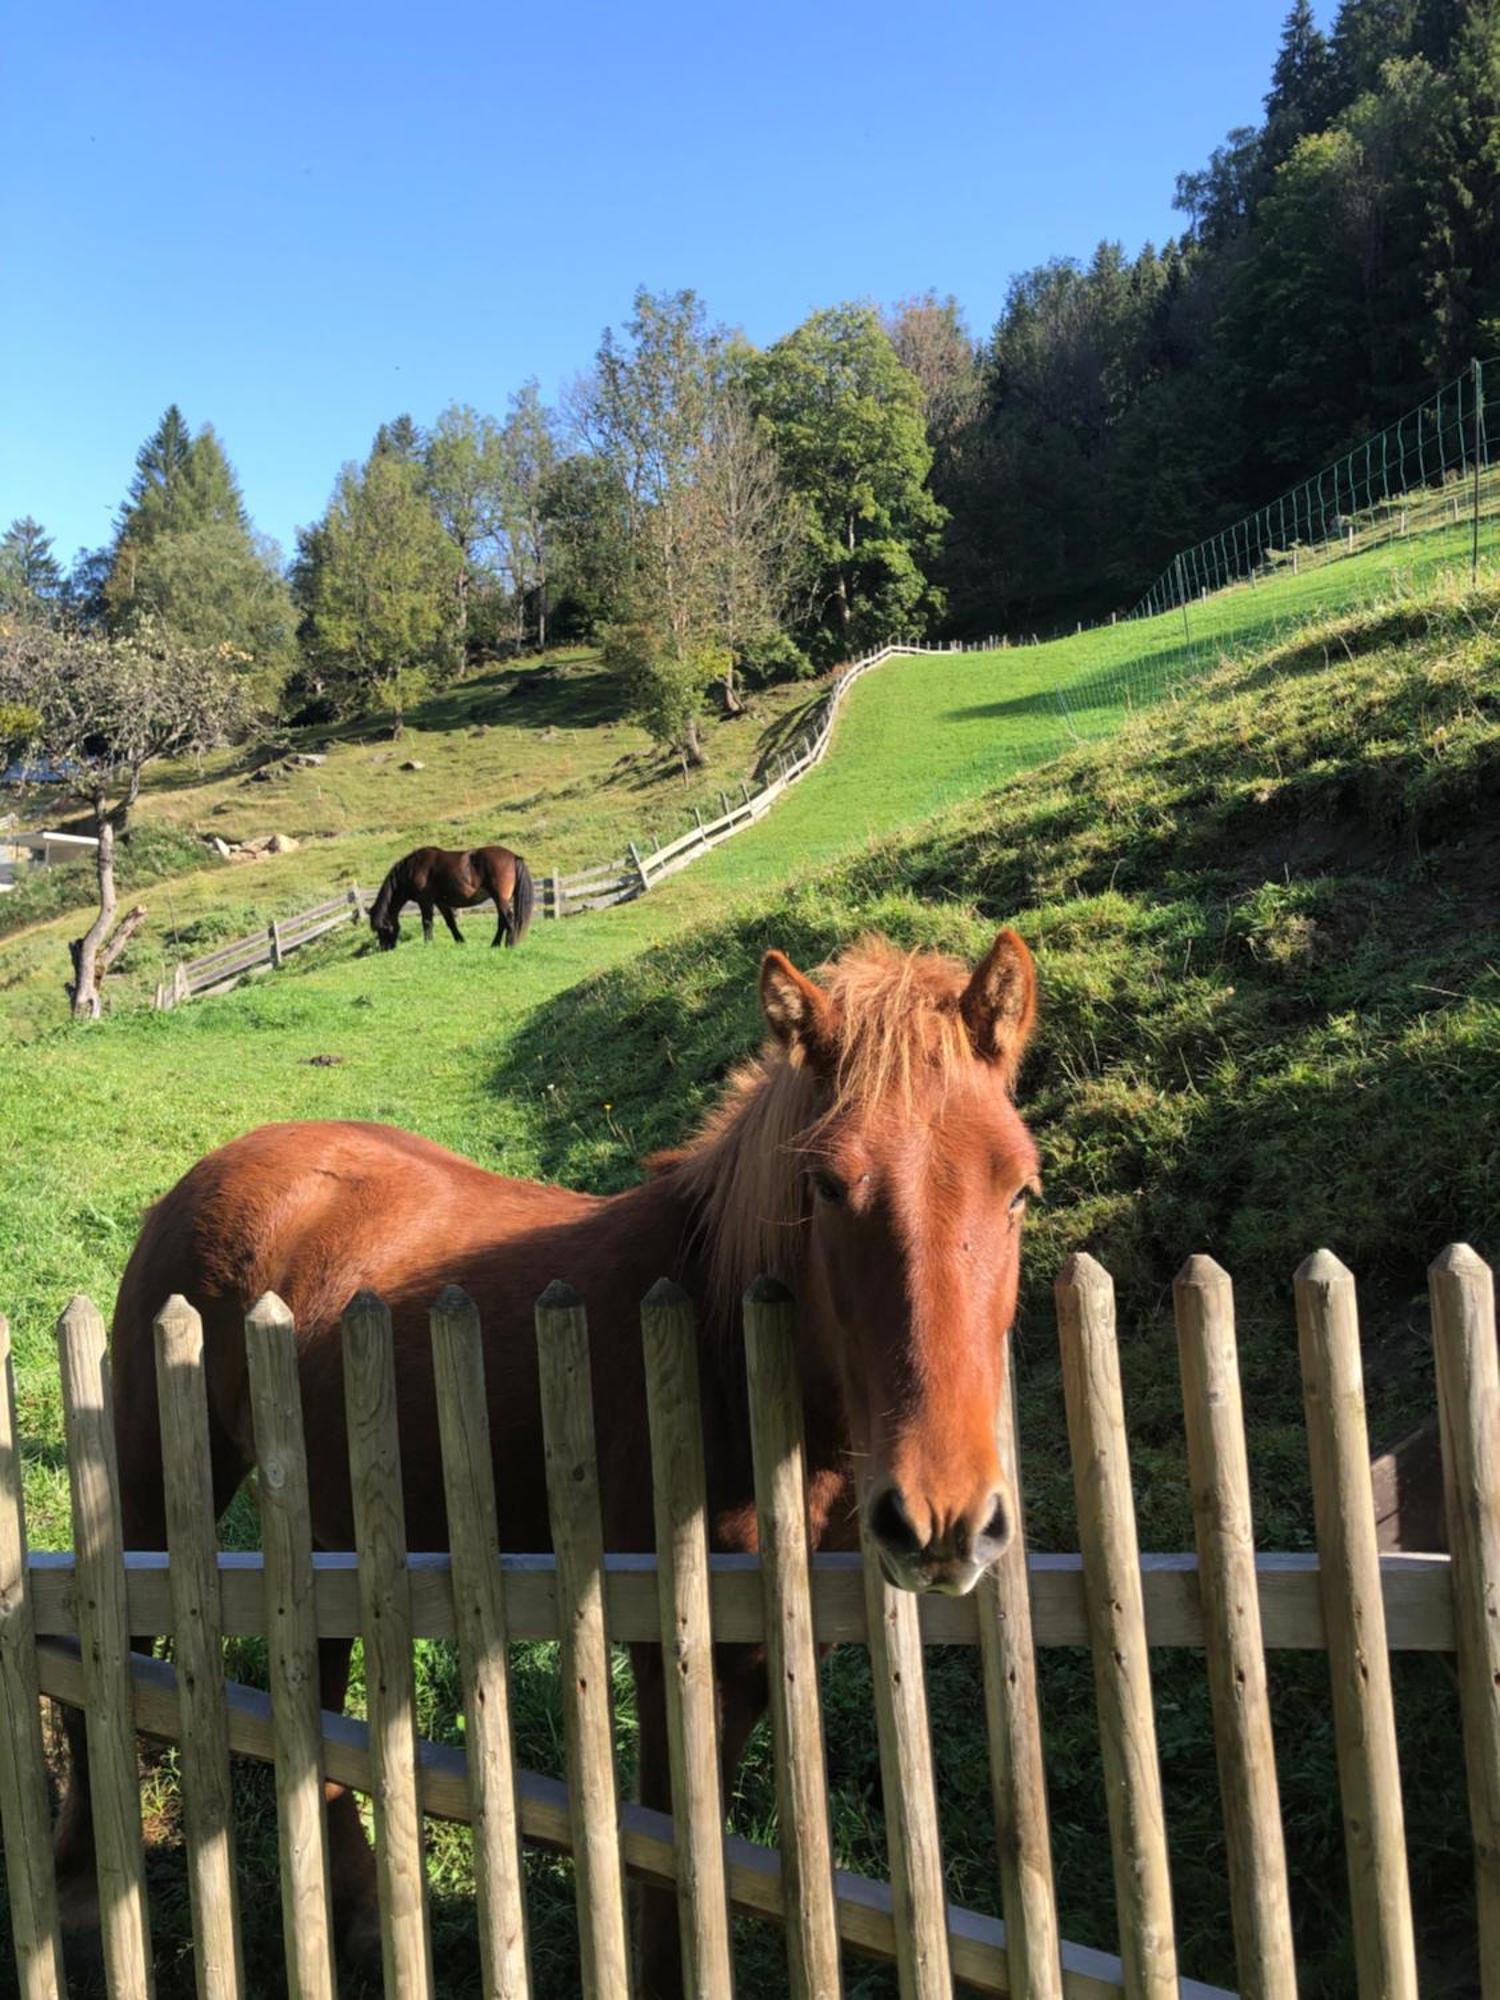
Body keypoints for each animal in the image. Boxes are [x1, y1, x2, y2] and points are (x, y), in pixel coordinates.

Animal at [58, 928, 1048, 1992]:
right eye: (827, 1185)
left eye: (1019, 1188)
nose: (944, 1519)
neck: (721, 1343)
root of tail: (209, 1172)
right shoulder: (675, 1655)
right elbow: (665, 1871)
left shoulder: (774, 1652)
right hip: (157, 1491)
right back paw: (81, 1899)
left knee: (315, 1692)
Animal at [368, 836, 536, 944]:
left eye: (382, 929)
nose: (385, 949)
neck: (413, 869)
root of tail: (513, 857)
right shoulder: (441, 902)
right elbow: (451, 922)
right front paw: (460, 941)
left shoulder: (425, 901)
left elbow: (427, 922)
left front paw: (428, 944)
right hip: (500, 899)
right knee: (502, 920)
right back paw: (495, 944)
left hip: (500, 898)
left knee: (508, 918)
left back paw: (510, 944)